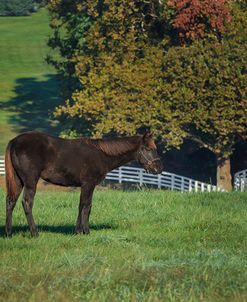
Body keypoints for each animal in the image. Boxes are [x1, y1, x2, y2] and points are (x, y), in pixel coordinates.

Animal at [4, 132, 163, 236]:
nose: (159, 168)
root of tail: (14, 142)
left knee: (11, 202)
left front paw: (81, 230)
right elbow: (84, 206)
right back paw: (34, 232)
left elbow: (86, 206)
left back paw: (8, 233)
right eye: (148, 149)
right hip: (30, 181)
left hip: (18, 181)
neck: (101, 154)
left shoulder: (88, 186)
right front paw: (83, 231)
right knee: (27, 203)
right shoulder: (88, 184)